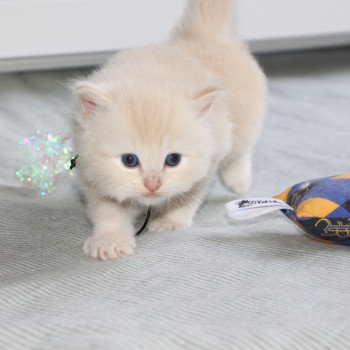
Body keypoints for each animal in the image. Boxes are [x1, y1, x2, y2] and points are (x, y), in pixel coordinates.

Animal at [73, 0, 266, 260]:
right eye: (129, 160)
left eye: (173, 159)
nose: (153, 184)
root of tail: (200, 37)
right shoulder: (92, 174)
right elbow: (108, 211)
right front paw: (109, 241)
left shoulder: (210, 159)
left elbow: (187, 197)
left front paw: (169, 220)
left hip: (243, 125)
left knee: (241, 150)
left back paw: (238, 180)